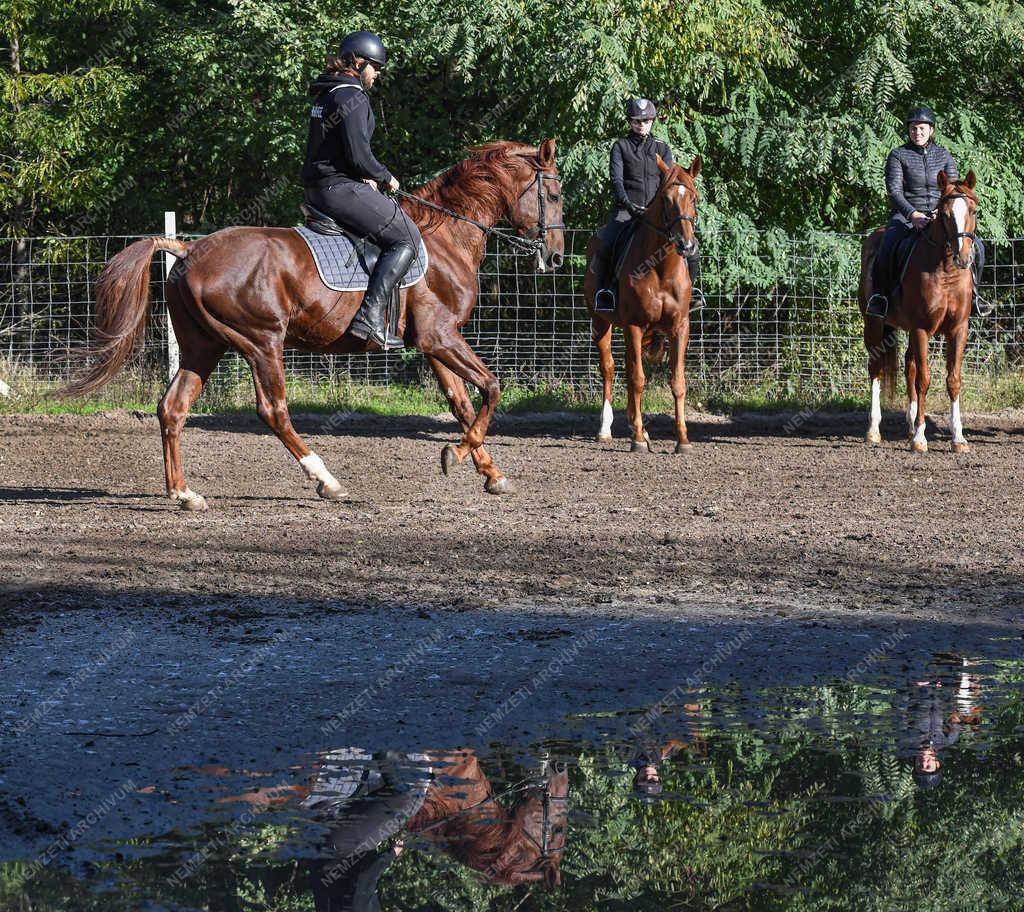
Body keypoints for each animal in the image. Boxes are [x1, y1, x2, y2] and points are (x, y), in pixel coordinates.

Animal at [61, 141, 569, 505]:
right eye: (555, 194)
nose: (556, 258)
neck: (447, 236)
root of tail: (189, 249)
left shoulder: (434, 342)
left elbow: (464, 404)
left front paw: (490, 474)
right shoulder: (439, 337)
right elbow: (493, 388)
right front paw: (456, 454)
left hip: (202, 347)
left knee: (173, 408)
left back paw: (184, 494)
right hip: (262, 343)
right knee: (273, 411)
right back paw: (326, 480)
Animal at [585, 158, 704, 456]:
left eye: (694, 198)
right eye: (666, 199)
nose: (686, 244)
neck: (661, 267)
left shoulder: (680, 327)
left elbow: (678, 382)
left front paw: (682, 440)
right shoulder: (634, 325)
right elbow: (638, 379)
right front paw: (638, 439)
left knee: (628, 368)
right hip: (601, 323)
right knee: (610, 368)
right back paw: (607, 430)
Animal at [860, 169, 978, 452]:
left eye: (973, 211)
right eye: (944, 215)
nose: (963, 258)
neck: (945, 271)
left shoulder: (958, 330)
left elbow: (953, 380)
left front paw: (958, 438)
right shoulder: (922, 329)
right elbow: (924, 380)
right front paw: (920, 439)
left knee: (909, 366)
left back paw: (912, 423)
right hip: (874, 325)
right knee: (876, 368)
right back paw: (873, 430)